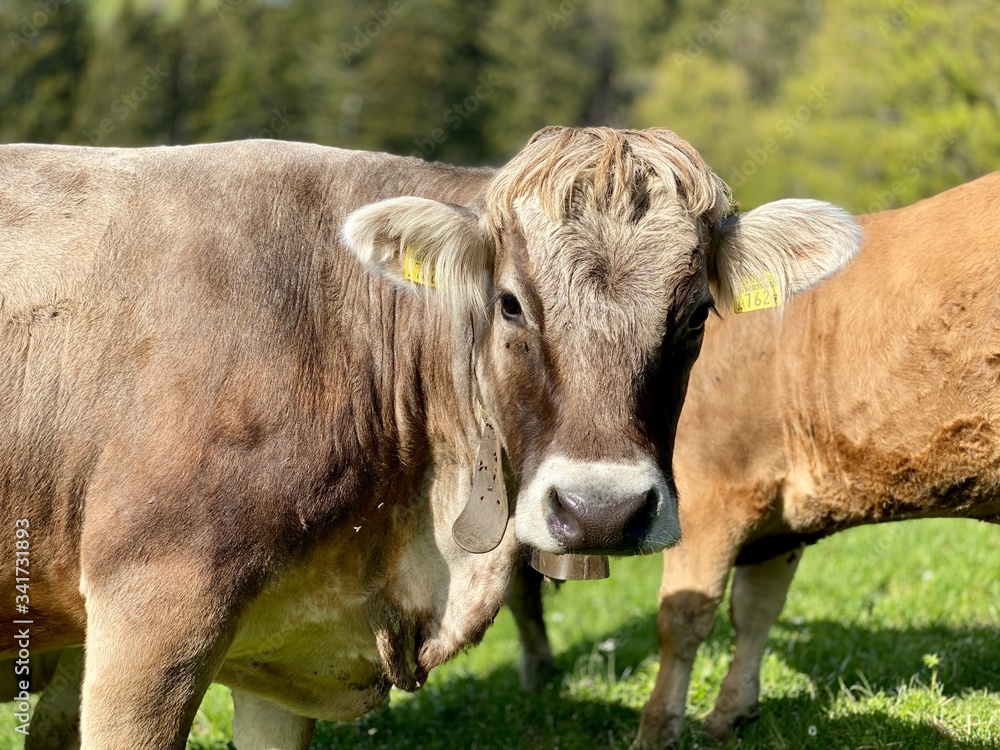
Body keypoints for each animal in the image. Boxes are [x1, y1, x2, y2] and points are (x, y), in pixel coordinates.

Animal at [512, 172, 1000, 747]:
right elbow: (756, 610)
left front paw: (656, 729)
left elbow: (683, 618)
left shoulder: (712, 490)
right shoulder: (777, 516)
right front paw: (732, 711)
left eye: (696, 312)